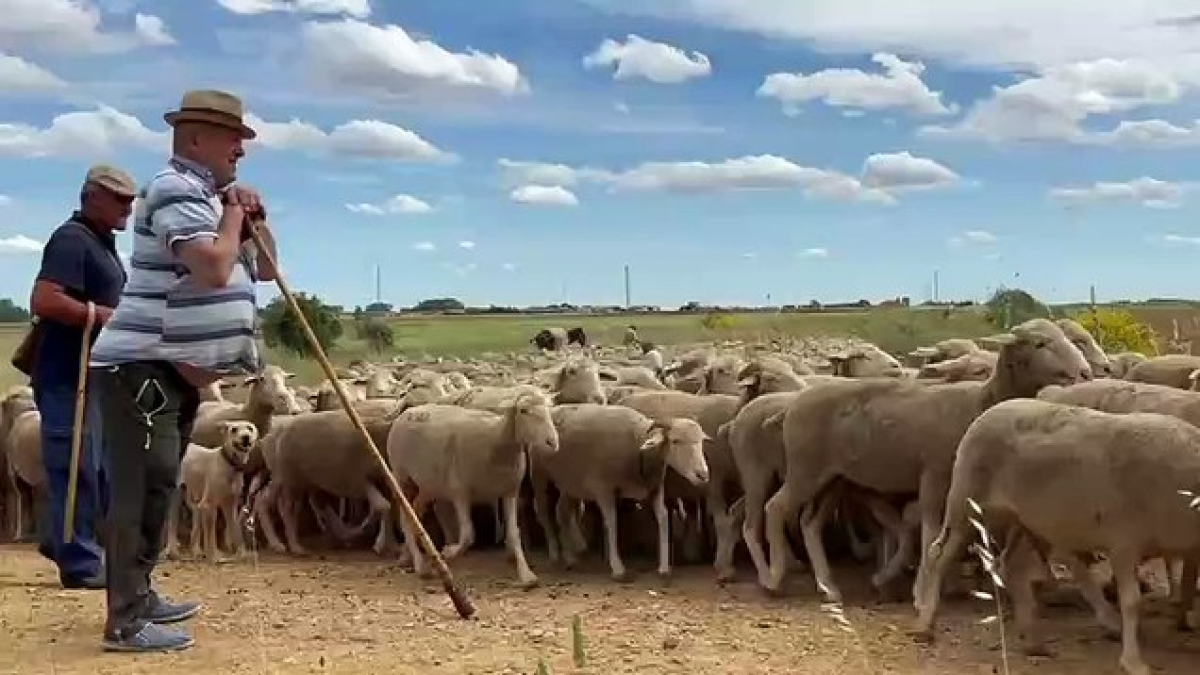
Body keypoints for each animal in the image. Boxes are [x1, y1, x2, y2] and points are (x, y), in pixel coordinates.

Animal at [173, 420, 260, 562]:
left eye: (250, 428)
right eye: (233, 429)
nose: (246, 437)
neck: (229, 464)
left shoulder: (230, 506)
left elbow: (236, 531)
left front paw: (243, 554)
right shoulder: (209, 506)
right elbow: (211, 537)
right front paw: (214, 557)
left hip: (195, 501)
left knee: (195, 529)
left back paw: (196, 551)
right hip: (177, 498)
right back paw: (172, 551)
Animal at [387, 391, 559, 588]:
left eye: (549, 408)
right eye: (523, 410)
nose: (552, 442)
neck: (496, 441)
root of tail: (408, 411)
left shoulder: (510, 492)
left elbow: (514, 533)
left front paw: (526, 574)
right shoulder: (460, 493)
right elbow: (468, 534)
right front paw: (448, 553)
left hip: (429, 485)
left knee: (415, 512)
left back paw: (409, 555)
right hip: (402, 476)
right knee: (405, 517)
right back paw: (419, 564)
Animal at [533, 404, 709, 580]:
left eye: (701, 441)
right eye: (675, 441)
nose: (703, 474)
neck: (638, 446)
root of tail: (554, 408)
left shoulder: (655, 487)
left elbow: (663, 517)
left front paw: (664, 567)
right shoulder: (603, 488)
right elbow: (612, 521)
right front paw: (618, 568)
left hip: (570, 483)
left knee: (562, 513)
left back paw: (570, 558)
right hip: (540, 475)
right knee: (543, 511)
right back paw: (555, 554)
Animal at [762, 318, 1093, 601]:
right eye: (1040, 343)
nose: (1086, 373)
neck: (980, 402)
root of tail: (792, 406)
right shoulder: (935, 473)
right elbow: (931, 530)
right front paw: (922, 589)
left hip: (833, 479)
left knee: (810, 523)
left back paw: (828, 586)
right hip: (805, 468)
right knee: (775, 508)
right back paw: (775, 578)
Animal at [911, 397, 1200, 675]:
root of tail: (989, 411)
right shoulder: (1124, 542)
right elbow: (1131, 603)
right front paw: (1133, 663)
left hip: (1023, 520)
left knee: (1012, 567)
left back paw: (1033, 643)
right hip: (967, 503)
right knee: (938, 556)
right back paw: (926, 625)